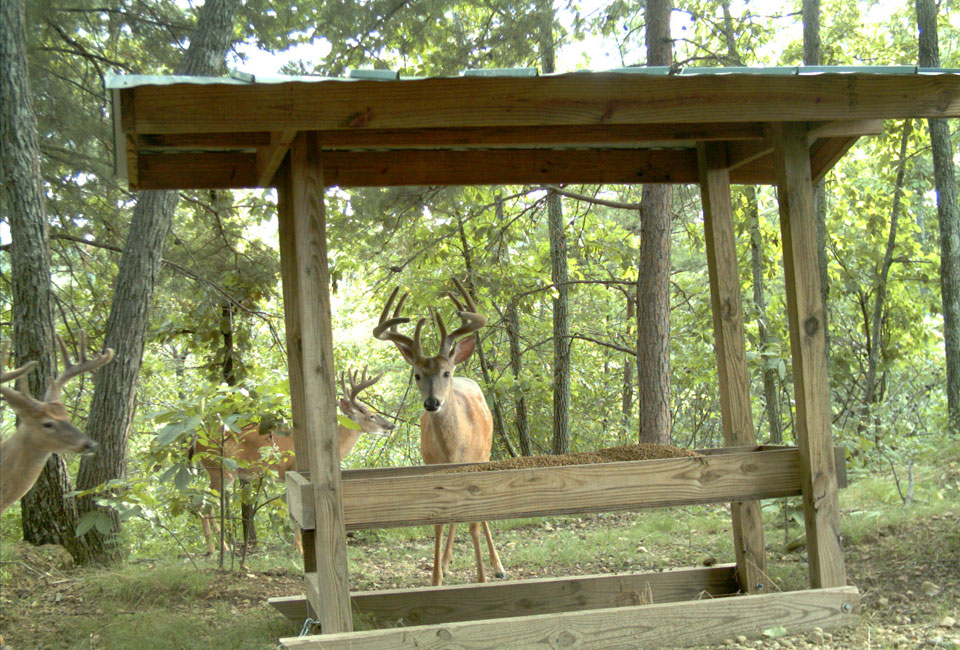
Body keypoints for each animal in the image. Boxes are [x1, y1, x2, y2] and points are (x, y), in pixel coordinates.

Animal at [194, 364, 394, 552]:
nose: (390, 425)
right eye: (372, 416)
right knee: (204, 504)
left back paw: (219, 547)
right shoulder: (295, 470)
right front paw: (300, 548)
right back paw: (217, 548)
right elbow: (299, 513)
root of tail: (196, 441)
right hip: (220, 468)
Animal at [376, 276, 510, 584]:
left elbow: (474, 523)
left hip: (486, 454)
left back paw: (497, 566)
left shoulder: (474, 464)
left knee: (480, 516)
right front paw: (436, 578)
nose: (432, 402)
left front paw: (482, 578)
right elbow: (439, 521)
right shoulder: (431, 467)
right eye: (417, 375)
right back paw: (448, 563)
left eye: (445, 373)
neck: (453, 448)